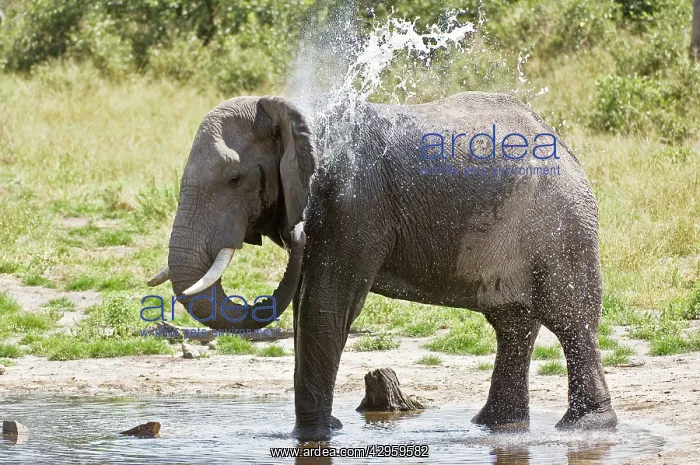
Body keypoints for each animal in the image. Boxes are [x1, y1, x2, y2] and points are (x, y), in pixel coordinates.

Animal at [148, 91, 617, 441]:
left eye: (234, 180)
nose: (296, 233)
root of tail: (564, 145)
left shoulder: (353, 202)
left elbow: (323, 308)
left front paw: (315, 436)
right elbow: (306, 310)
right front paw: (327, 429)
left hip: (561, 225)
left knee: (569, 320)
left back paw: (585, 428)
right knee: (513, 324)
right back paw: (495, 426)